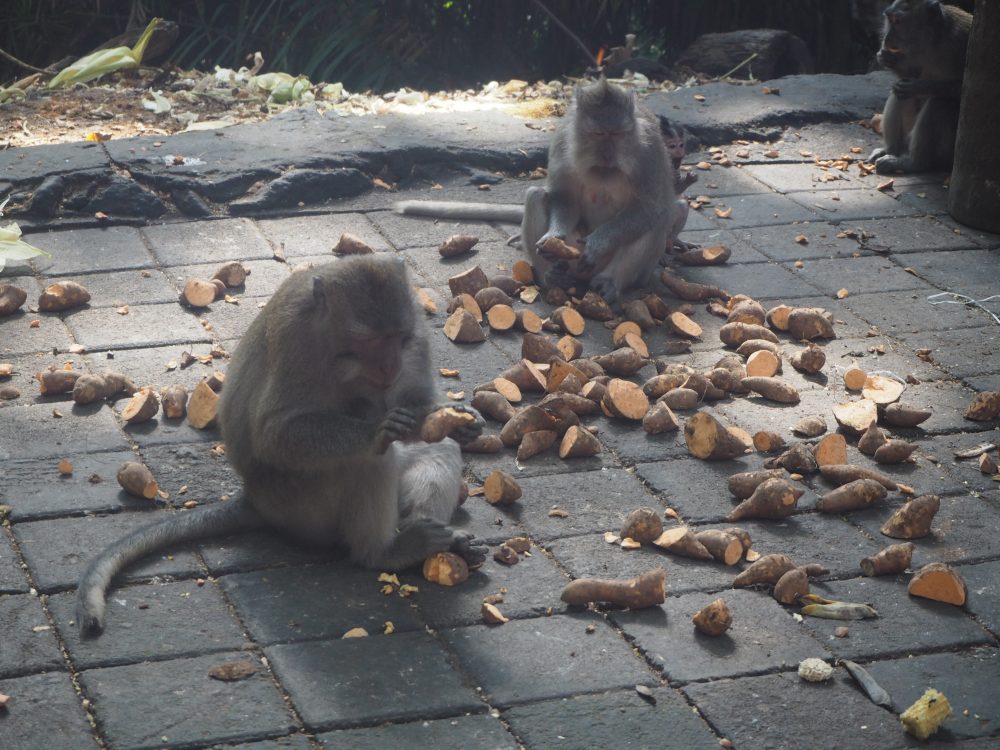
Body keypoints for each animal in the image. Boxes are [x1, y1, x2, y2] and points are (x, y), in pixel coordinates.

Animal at [76, 254, 487, 635]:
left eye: (398, 337)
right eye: (369, 340)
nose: (389, 366)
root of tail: (256, 500)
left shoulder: (415, 332)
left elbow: (419, 402)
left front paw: (452, 419)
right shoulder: (296, 339)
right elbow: (274, 435)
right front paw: (377, 430)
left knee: (435, 449)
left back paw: (441, 541)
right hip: (299, 505)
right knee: (366, 462)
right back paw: (382, 553)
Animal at [394, 79, 676, 304]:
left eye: (617, 134)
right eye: (598, 133)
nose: (607, 156)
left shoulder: (650, 151)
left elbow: (648, 208)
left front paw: (599, 242)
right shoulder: (563, 140)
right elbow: (562, 197)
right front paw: (554, 235)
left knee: (654, 222)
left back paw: (609, 282)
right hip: (572, 259)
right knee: (536, 196)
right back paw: (550, 275)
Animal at [867, 0, 972, 174]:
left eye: (897, 21)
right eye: (890, 20)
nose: (887, 38)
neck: (933, 41)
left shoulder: (960, 42)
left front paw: (919, 86)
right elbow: (906, 77)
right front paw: (889, 59)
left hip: (948, 153)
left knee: (940, 103)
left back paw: (914, 163)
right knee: (899, 93)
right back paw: (892, 150)